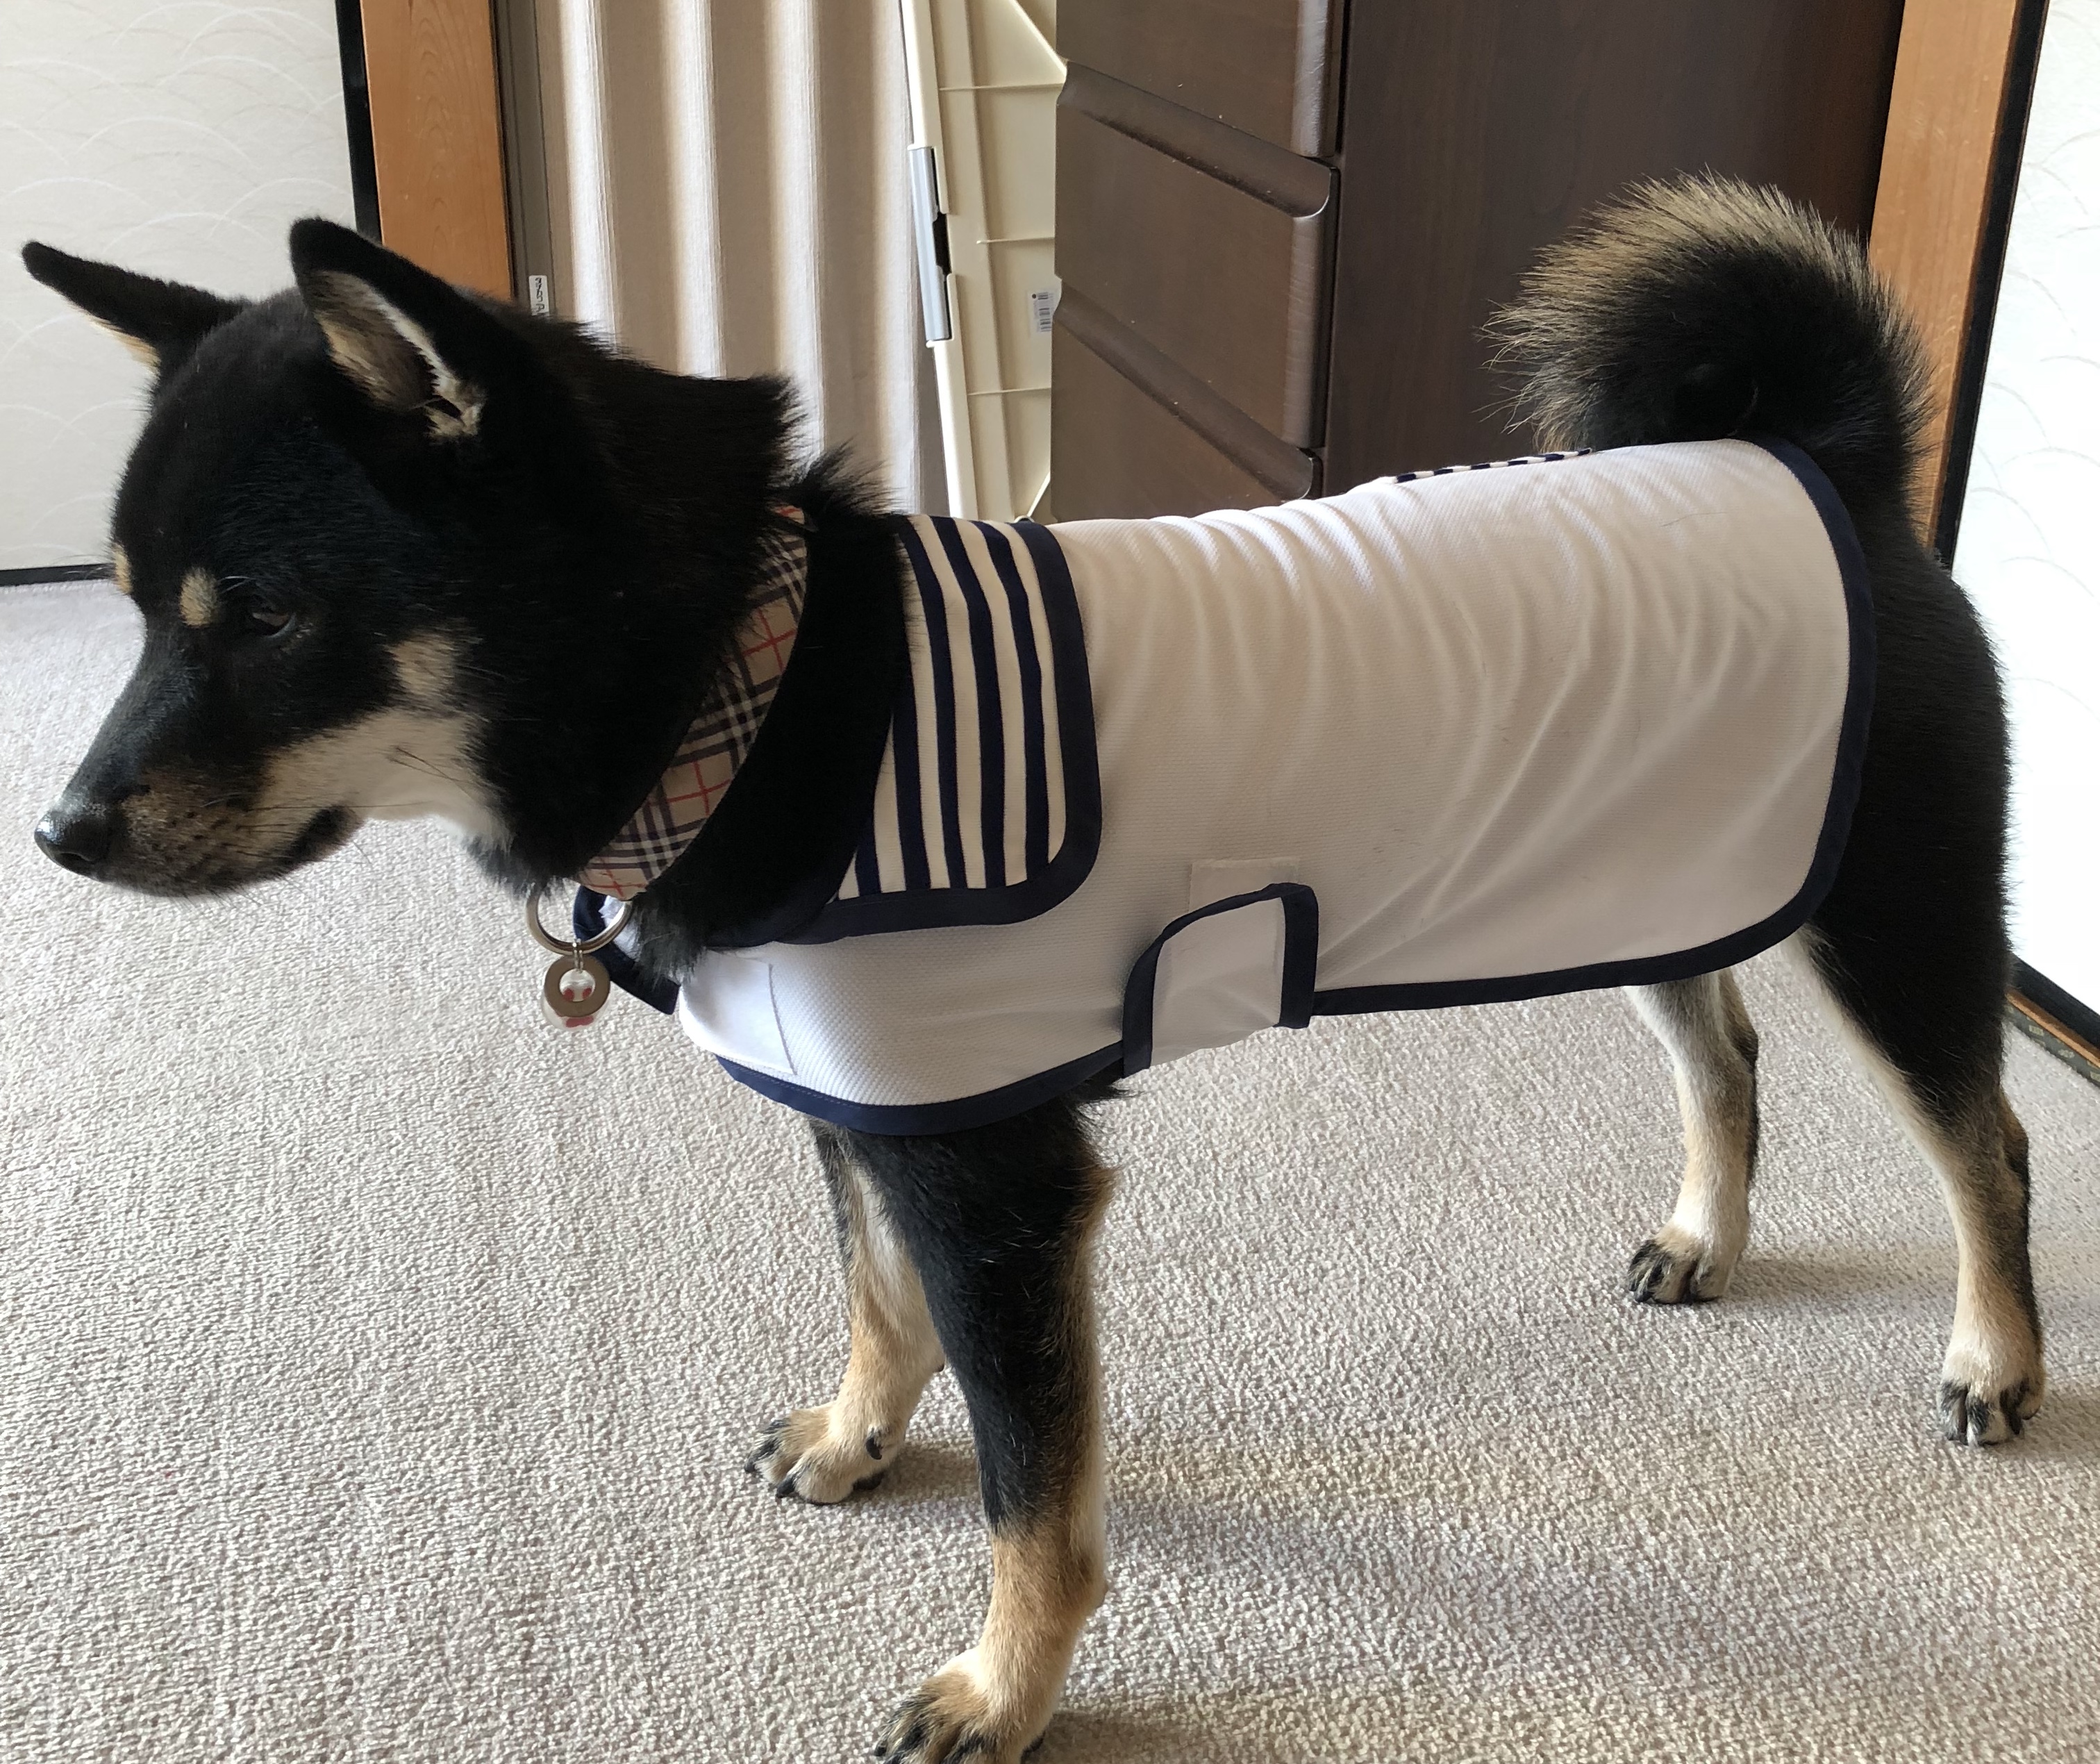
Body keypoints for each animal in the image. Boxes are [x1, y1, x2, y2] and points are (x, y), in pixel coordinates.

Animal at [24, 176, 2044, 1762]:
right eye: (126, 602)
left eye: (262, 617)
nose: (56, 830)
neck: (747, 684)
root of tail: (1826, 467)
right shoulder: (873, 1106)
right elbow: (879, 1305)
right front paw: (858, 1436)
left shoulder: (994, 1173)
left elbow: (1031, 1482)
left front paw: (1003, 1687)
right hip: (1660, 881)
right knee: (1727, 1059)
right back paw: (1706, 1234)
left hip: (1889, 910)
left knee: (1986, 1143)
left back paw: (1995, 1355)